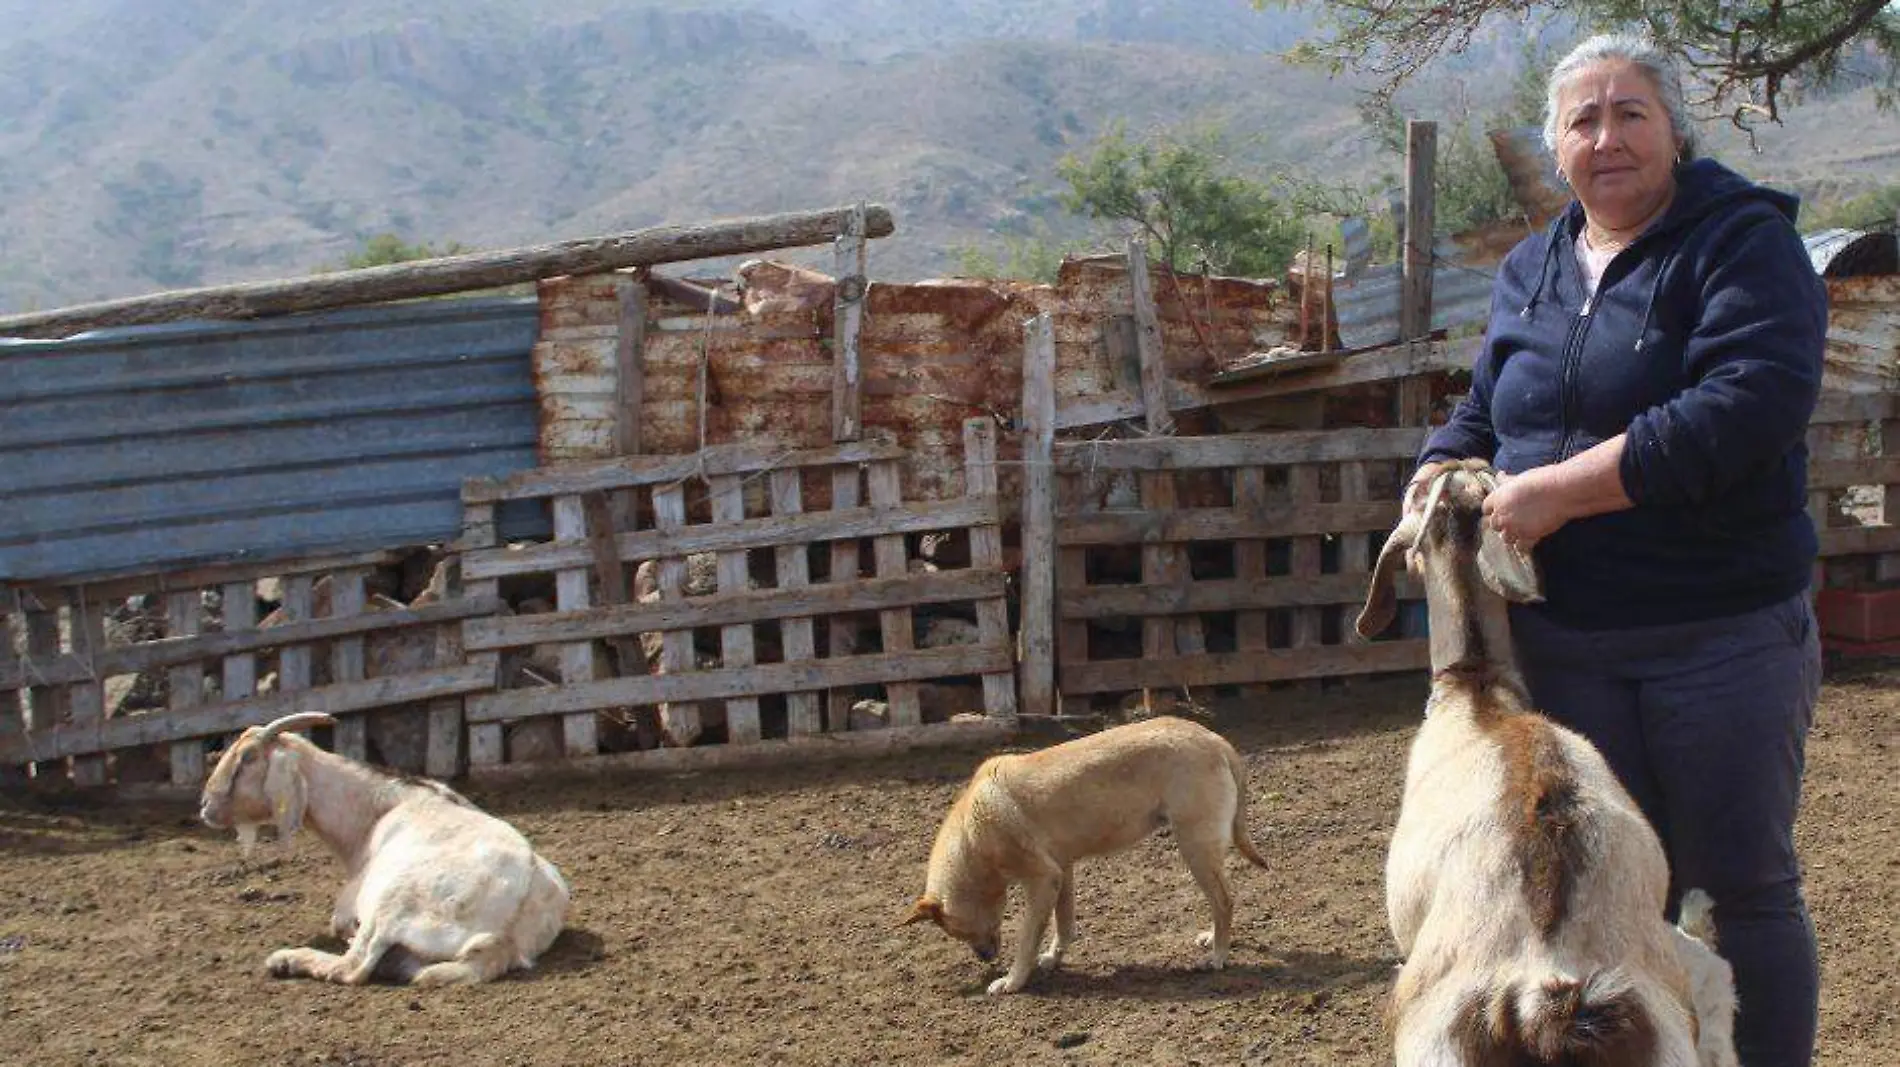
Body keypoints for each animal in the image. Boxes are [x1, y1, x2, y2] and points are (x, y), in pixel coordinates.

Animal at [202, 710, 570, 987]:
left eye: (247, 758)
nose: (205, 805)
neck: (378, 811)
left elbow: (341, 929)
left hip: (391, 905)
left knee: (353, 967)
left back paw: (286, 959)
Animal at [900, 713, 1269, 987]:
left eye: (957, 931)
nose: (985, 959)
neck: (972, 835)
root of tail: (1215, 740)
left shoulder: (1043, 879)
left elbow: (1027, 939)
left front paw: (1014, 981)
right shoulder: (1062, 872)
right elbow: (1063, 925)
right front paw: (1053, 959)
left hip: (1195, 847)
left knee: (1224, 902)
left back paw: (1218, 956)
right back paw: (1212, 938)